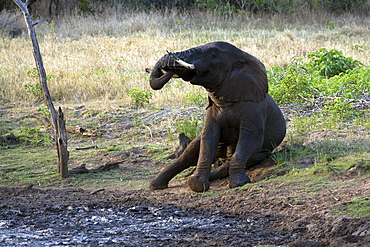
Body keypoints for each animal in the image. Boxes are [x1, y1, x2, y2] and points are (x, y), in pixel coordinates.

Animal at [148, 41, 286, 193]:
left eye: (213, 55)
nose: (170, 69)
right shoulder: (212, 109)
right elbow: (208, 138)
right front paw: (197, 184)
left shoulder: (255, 109)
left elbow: (250, 138)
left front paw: (239, 184)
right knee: (188, 154)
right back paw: (157, 185)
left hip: (262, 153)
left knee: (236, 161)